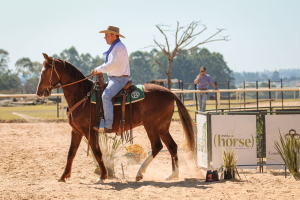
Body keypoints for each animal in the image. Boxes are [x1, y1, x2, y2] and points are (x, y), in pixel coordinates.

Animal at [36, 54, 196, 184]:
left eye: (44, 71)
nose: (39, 92)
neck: (83, 95)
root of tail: (170, 92)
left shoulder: (89, 131)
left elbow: (97, 151)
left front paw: (103, 176)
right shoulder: (76, 131)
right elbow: (71, 153)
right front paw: (63, 176)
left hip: (151, 125)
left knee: (157, 146)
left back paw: (139, 173)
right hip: (163, 127)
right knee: (172, 146)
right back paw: (173, 174)